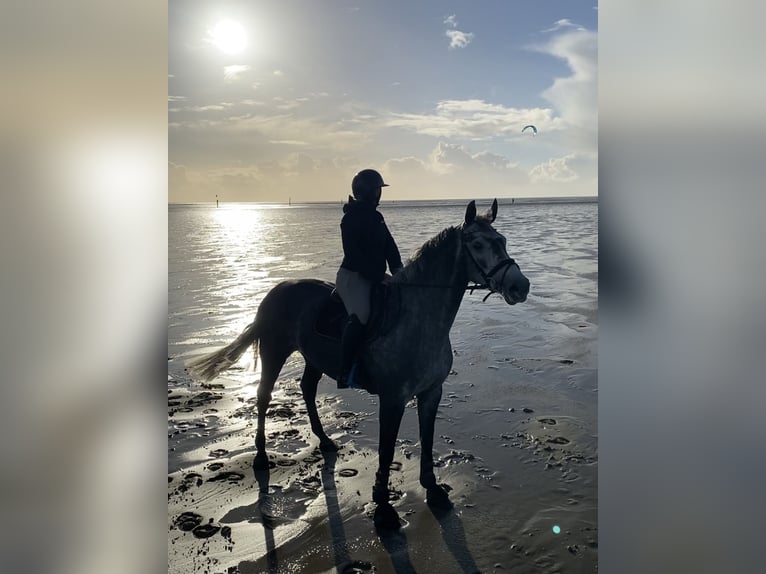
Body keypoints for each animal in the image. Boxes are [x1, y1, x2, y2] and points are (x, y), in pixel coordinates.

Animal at [188, 199, 530, 529]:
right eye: (477, 244)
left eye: (502, 240)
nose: (521, 286)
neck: (421, 320)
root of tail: (278, 288)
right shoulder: (392, 399)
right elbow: (386, 450)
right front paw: (383, 506)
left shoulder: (432, 392)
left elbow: (428, 439)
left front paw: (432, 489)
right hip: (275, 352)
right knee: (263, 396)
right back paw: (260, 456)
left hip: (314, 357)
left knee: (307, 389)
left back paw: (325, 441)